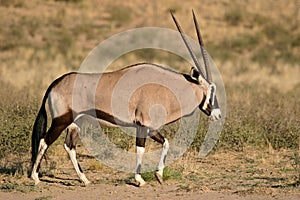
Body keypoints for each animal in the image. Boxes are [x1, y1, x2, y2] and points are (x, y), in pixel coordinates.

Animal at [30, 10, 221, 186]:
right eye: (211, 91)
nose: (218, 115)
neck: (166, 87)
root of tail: (55, 83)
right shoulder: (143, 125)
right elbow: (140, 150)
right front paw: (140, 180)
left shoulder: (151, 128)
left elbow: (166, 143)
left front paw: (159, 175)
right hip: (61, 120)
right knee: (44, 142)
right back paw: (35, 177)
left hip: (75, 123)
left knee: (69, 146)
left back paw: (85, 180)